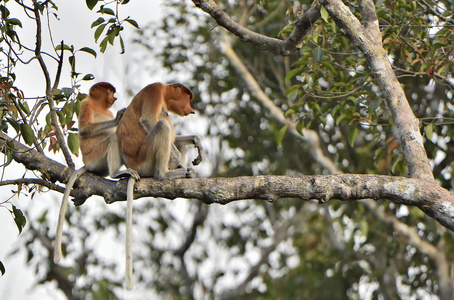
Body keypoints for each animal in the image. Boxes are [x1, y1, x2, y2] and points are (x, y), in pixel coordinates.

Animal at [53, 81, 138, 262]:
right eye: (109, 90)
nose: (114, 96)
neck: (99, 106)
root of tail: (88, 165)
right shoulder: (85, 105)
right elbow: (85, 129)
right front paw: (118, 117)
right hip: (96, 157)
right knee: (112, 138)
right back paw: (117, 173)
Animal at [116, 82, 203, 288]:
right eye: (188, 98)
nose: (192, 110)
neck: (164, 93)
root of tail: (132, 166)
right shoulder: (153, 91)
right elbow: (148, 121)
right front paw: (178, 159)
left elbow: (178, 140)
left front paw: (196, 141)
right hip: (145, 159)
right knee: (162, 125)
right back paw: (168, 173)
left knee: (176, 139)